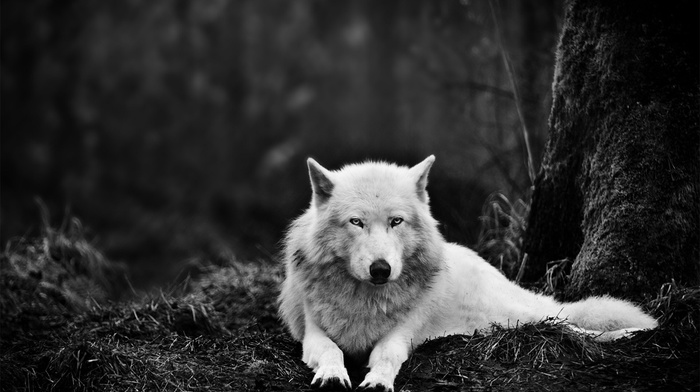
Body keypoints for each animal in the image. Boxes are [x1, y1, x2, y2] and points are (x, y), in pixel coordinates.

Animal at [278, 156, 656, 392]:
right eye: (356, 222)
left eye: (396, 221)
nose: (381, 269)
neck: (366, 300)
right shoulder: (312, 334)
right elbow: (332, 351)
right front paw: (332, 375)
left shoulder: (401, 335)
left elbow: (384, 355)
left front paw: (377, 381)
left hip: (518, 315)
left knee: (570, 323)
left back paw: (632, 332)